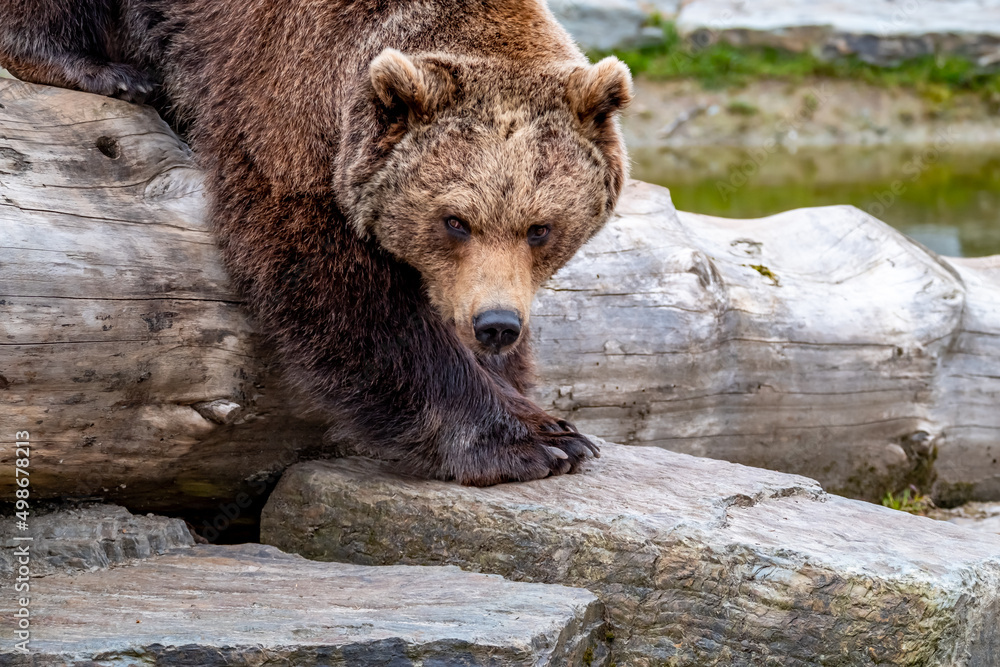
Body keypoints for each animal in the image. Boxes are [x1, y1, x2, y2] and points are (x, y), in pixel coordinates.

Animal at [0, 0, 632, 485]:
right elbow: (349, 297)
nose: (496, 324)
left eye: (540, 228)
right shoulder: (287, 110)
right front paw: (521, 443)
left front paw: (551, 421)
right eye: (455, 221)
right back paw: (104, 71)